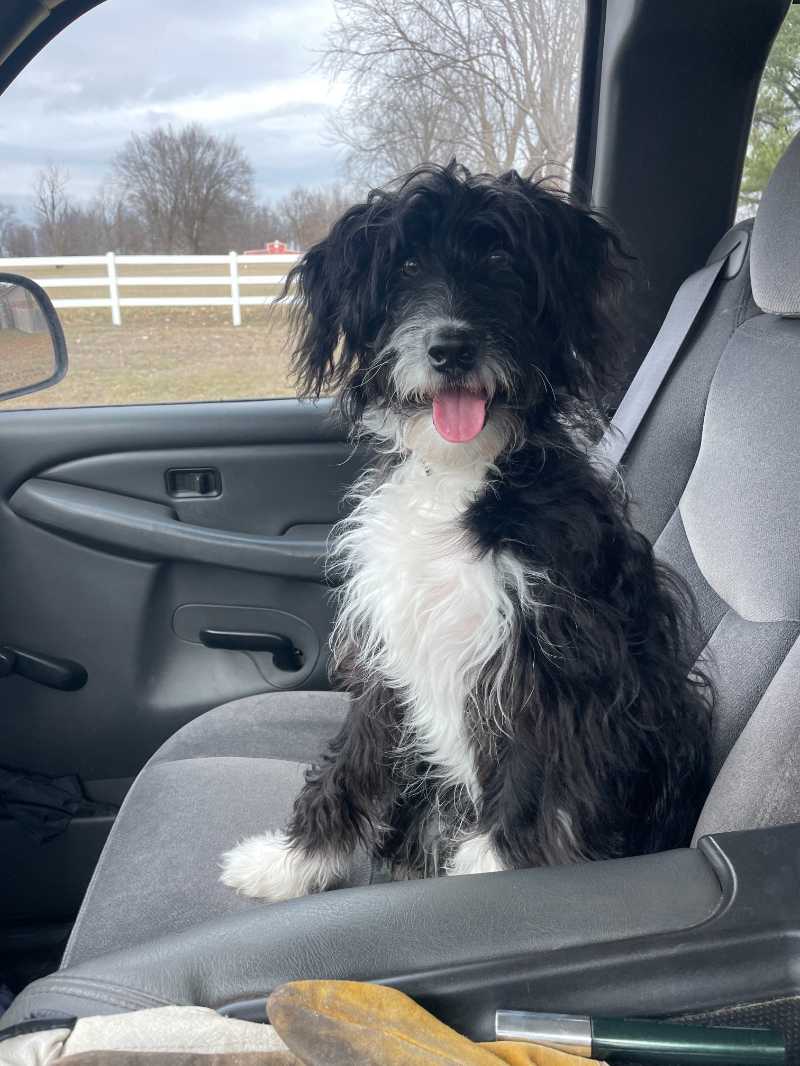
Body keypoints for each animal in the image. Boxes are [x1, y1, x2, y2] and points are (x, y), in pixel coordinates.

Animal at [220, 162, 712, 901]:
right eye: (405, 266)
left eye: (503, 262)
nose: (451, 347)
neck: (460, 477)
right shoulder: (392, 647)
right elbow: (351, 758)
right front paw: (289, 863)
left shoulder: (551, 662)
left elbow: (530, 787)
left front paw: (488, 879)